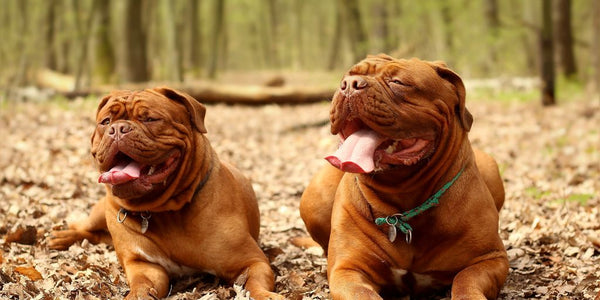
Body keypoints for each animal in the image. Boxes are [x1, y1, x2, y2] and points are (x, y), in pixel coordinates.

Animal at [48, 87, 282, 300]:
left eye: (150, 119)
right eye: (105, 122)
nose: (117, 129)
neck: (164, 210)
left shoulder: (252, 261)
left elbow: (253, 284)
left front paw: (265, 295)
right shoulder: (144, 265)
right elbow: (142, 286)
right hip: (100, 213)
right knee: (84, 227)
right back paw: (61, 236)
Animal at [300, 55, 506, 298]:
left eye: (398, 82)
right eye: (348, 76)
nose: (350, 84)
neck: (401, 203)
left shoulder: (489, 258)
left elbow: (466, 281)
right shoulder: (348, 270)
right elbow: (363, 293)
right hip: (314, 199)